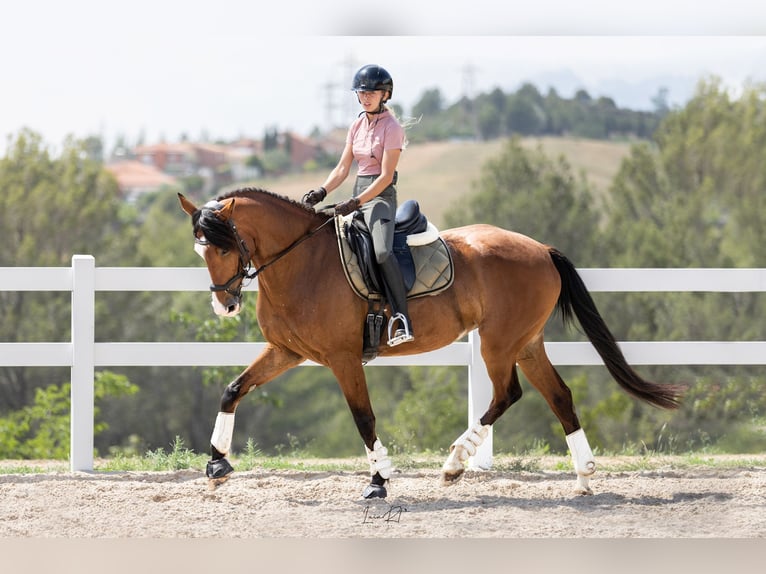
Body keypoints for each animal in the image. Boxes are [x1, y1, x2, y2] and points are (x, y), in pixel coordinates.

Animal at [178, 188, 685, 498]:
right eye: (199, 249)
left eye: (222, 247)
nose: (225, 306)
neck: (303, 262)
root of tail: (541, 249)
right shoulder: (288, 352)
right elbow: (233, 390)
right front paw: (217, 465)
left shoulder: (343, 359)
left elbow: (363, 418)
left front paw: (379, 480)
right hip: (525, 342)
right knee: (558, 395)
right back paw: (582, 478)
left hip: (498, 343)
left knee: (508, 393)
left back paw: (456, 462)